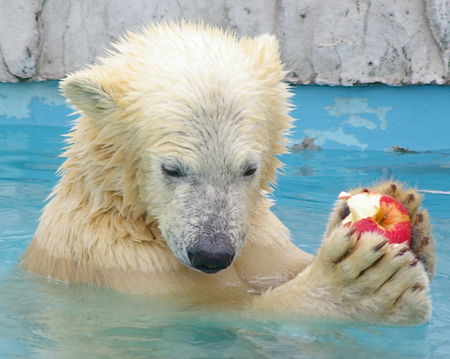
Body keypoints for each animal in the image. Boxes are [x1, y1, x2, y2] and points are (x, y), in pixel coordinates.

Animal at [22, 21, 436, 326]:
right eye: (171, 169)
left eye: (249, 168)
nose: (212, 254)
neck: (125, 211)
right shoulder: (122, 265)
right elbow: (220, 313)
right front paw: (358, 288)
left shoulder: (262, 245)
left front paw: (407, 212)